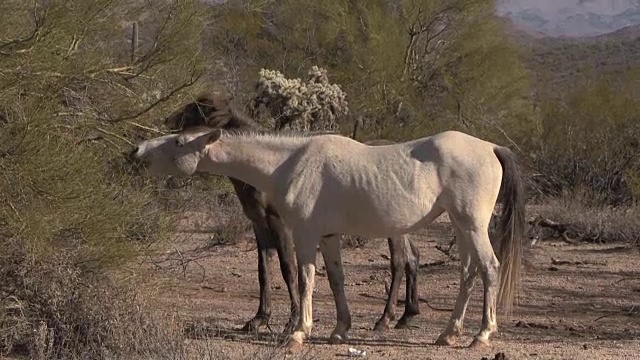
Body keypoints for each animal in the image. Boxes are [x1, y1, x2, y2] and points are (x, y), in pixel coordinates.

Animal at [130, 126, 524, 348]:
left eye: (179, 141)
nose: (135, 150)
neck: (288, 163)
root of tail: (490, 147)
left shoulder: (303, 234)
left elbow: (305, 279)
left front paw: (297, 333)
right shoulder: (329, 236)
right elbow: (336, 280)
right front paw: (339, 331)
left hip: (471, 225)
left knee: (489, 269)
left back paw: (481, 336)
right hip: (461, 226)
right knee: (468, 274)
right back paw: (448, 334)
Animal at [162, 93, 418, 332]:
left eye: (196, 109)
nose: (167, 120)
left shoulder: (281, 224)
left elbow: (289, 268)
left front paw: (292, 320)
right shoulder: (260, 224)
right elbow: (264, 270)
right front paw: (259, 318)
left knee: (398, 261)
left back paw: (385, 319)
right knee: (412, 257)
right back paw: (408, 315)